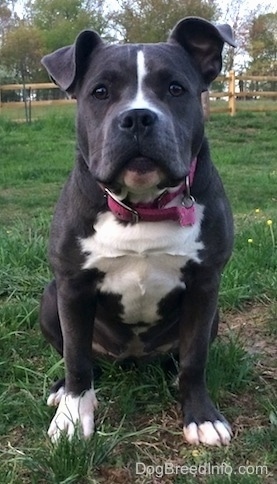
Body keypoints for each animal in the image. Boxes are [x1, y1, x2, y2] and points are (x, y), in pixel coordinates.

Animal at [40, 16, 235, 446]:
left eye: (176, 88)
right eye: (100, 92)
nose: (138, 117)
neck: (142, 206)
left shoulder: (205, 285)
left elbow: (195, 358)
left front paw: (201, 416)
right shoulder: (72, 286)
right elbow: (76, 357)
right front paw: (73, 419)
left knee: (180, 356)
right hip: (50, 296)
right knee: (82, 357)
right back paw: (64, 389)